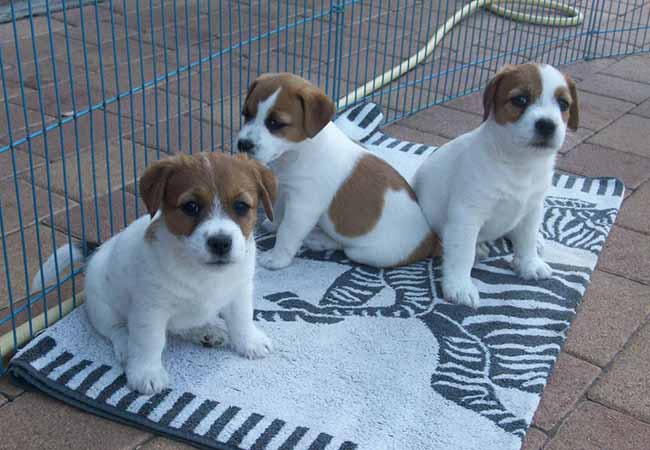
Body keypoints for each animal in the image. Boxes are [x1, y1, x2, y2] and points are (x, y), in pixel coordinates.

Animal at [32, 152, 277, 394]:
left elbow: (242, 318)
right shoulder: (150, 310)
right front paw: (145, 373)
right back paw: (127, 348)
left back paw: (205, 331)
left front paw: (250, 341)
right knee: (117, 330)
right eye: (191, 206)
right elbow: (149, 342)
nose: (220, 243)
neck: (202, 272)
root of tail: (97, 251)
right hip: (103, 308)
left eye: (241, 206)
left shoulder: (240, 291)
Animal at [236, 72, 439, 270]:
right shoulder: (285, 190)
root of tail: (430, 239)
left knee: (344, 246)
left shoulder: (303, 207)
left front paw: (277, 259)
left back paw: (318, 240)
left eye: (275, 123)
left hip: (364, 253)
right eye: (246, 114)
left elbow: (287, 232)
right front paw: (273, 225)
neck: (298, 152)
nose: (242, 144)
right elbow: (278, 212)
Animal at [414, 63, 579, 308]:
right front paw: (459, 286)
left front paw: (529, 263)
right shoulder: (467, 215)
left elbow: (527, 238)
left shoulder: (533, 208)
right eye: (520, 100)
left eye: (563, 104)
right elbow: (462, 254)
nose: (547, 125)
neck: (520, 165)